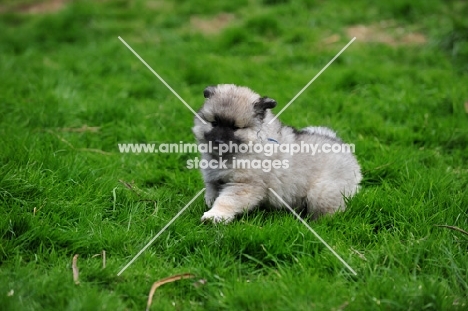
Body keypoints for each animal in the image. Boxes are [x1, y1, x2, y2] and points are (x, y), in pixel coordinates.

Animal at [192, 83, 360, 224]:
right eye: (214, 123)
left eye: (235, 128)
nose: (218, 141)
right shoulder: (213, 181)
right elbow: (211, 196)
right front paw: (208, 206)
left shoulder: (244, 185)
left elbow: (226, 201)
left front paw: (214, 215)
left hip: (321, 193)